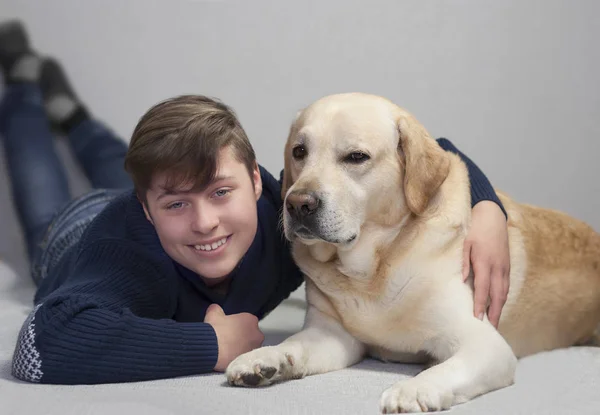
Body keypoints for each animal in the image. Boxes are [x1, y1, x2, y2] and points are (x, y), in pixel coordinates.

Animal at [225, 92, 600, 414]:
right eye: (299, 152)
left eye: (356, 157)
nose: (297, 204)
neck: (372, 270)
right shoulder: (331, 336)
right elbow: (294, 346)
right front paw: (263, 358)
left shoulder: (484, 343)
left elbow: (443, 370)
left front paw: (413, 390)